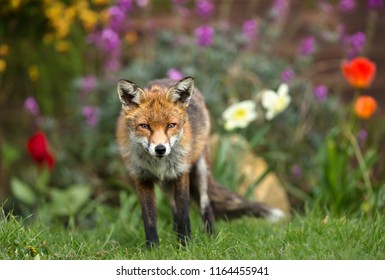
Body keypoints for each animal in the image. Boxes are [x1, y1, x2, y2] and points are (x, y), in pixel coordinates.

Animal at [115, 77, 284, 246]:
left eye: (171, 125)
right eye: (144, 126)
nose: (160, 149)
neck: (158, 165)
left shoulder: (181, 173)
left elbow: (184, 215)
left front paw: (185, 245)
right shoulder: (141, 178)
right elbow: (149, 219)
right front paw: (153, 248)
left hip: (201, 171)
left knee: (206, 205)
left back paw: (210, 237)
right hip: (167, 185)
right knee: (173, 209)